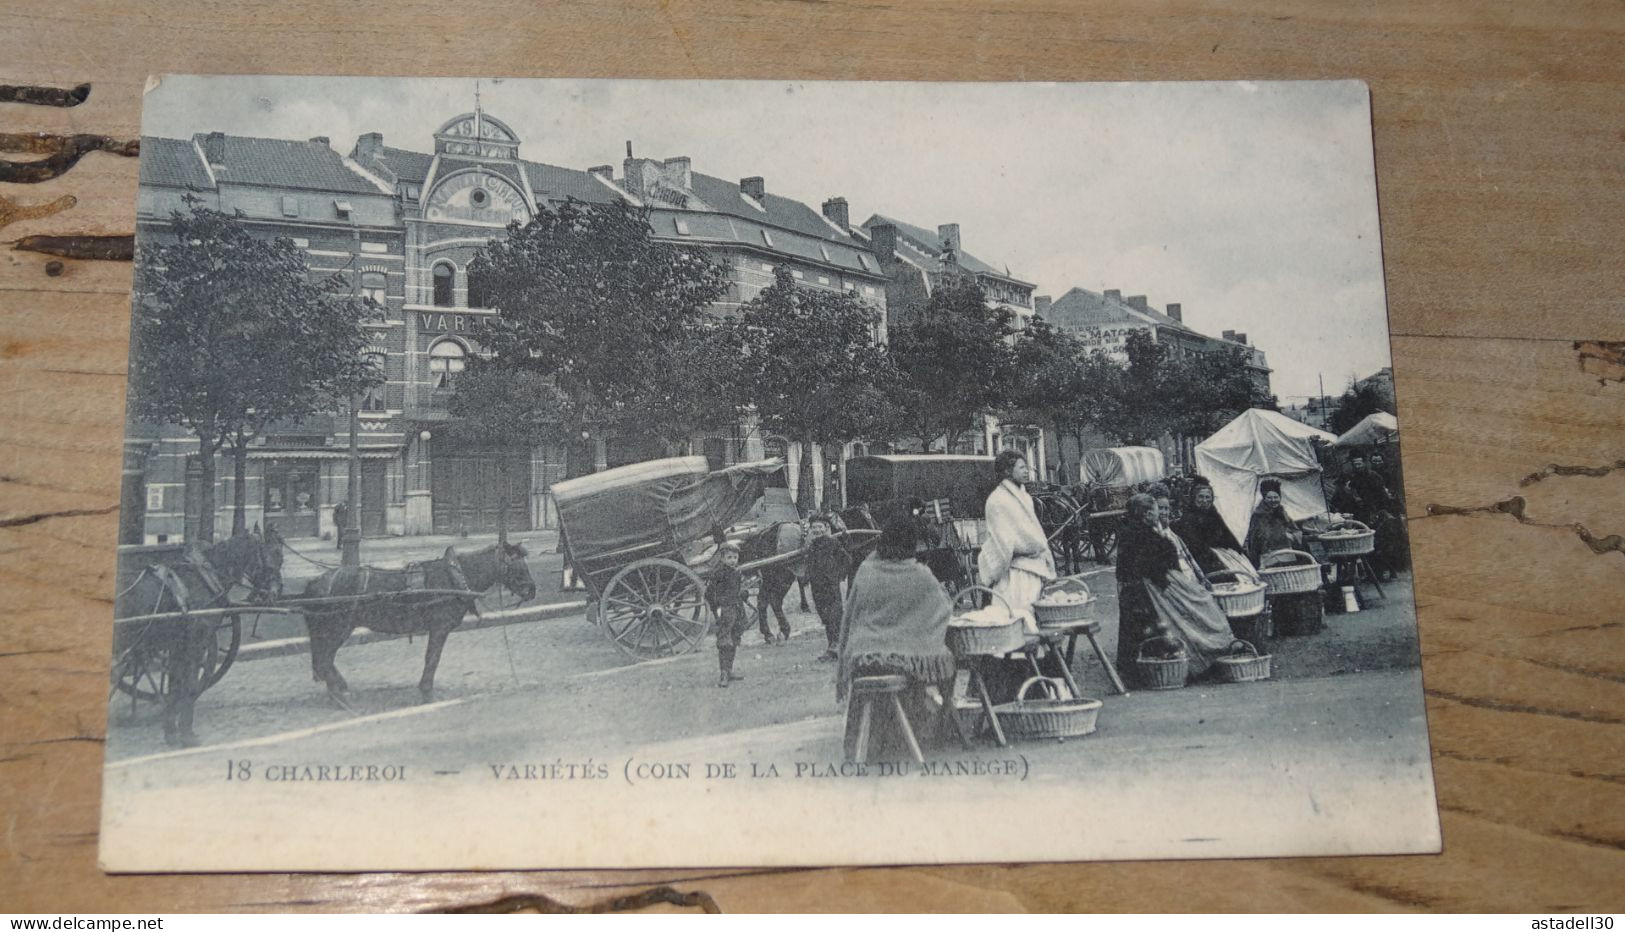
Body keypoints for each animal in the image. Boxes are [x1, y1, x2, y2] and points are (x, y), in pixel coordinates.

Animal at [299, 545, 539, 704]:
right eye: (517, 565)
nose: (531, 590)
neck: (454, 576)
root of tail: (315, 582)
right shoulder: (439, 629)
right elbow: (432, 658)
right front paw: (426, 690)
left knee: (324, 659)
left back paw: (337, 688)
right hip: (337, 628)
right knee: (324, 659)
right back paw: (340, 692)